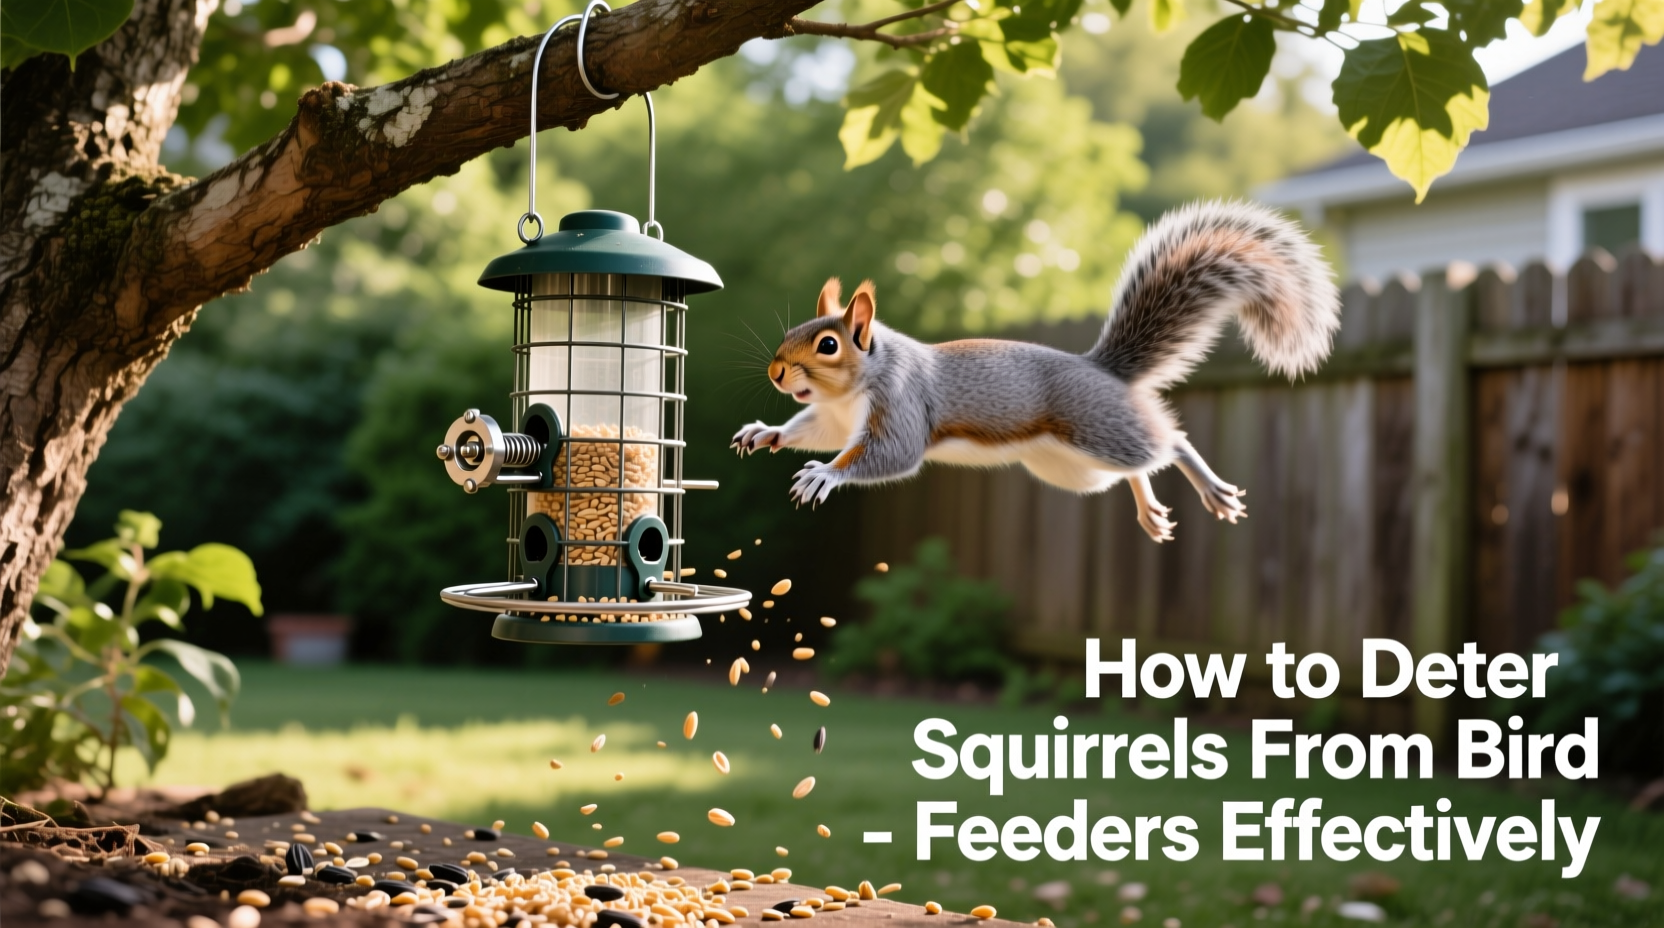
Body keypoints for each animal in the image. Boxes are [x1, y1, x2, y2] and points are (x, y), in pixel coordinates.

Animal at [730, 200, 1340, 542]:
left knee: (1172, 444)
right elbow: (809, 430)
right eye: (792, 332)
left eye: (829, 344)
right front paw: (766, 432)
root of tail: (1104, 371)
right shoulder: (833, 418)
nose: (777, 374)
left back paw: (1211, 488)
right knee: (1134, 469)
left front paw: (824, 475)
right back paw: (1149, 510)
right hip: (1073, 468)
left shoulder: (900, 403)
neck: (852, 390)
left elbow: (888, 454)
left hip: (1099, 429)